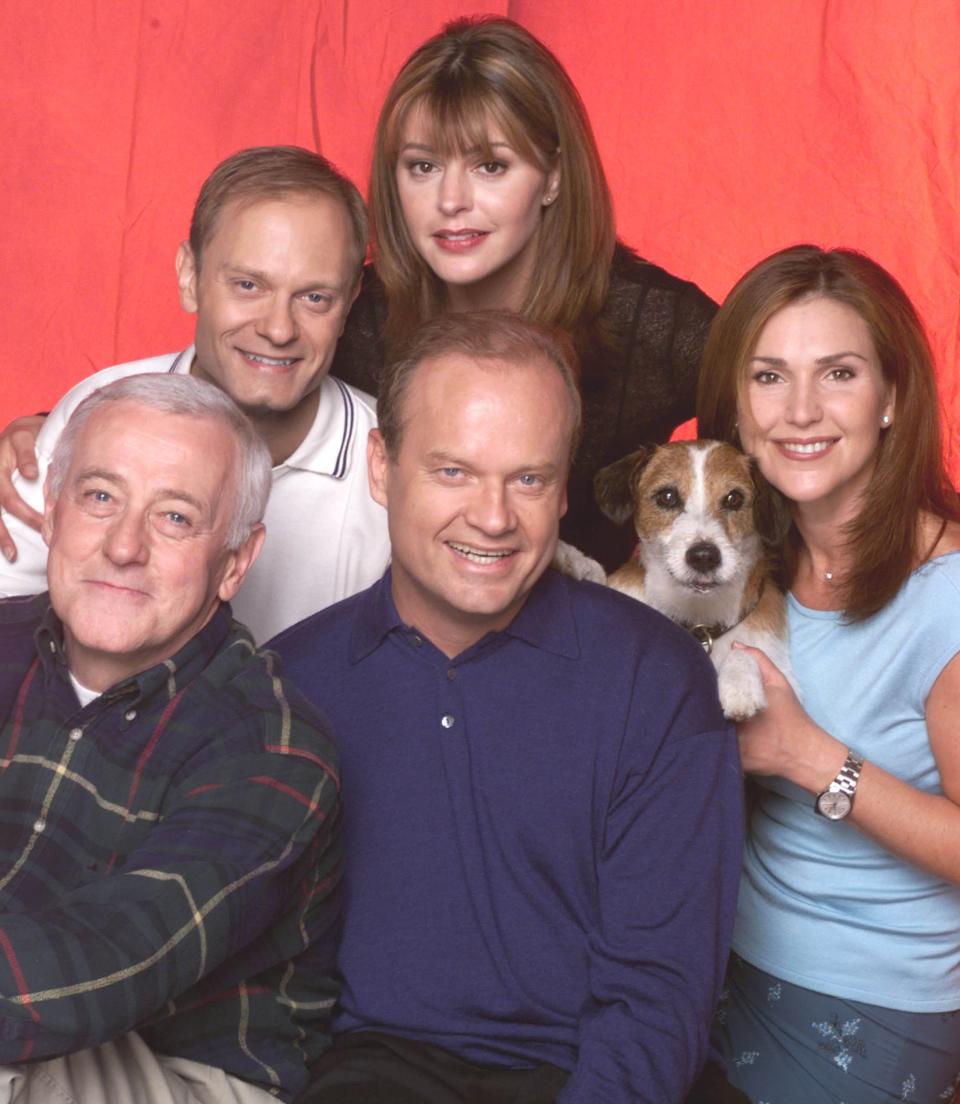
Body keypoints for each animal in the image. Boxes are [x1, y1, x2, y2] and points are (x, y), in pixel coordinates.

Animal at [595, 439, 794, 724]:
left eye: (734, 498)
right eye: (667, 496)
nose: (704, 557)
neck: (699, 618)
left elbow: (745, 649)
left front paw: (740, 685)